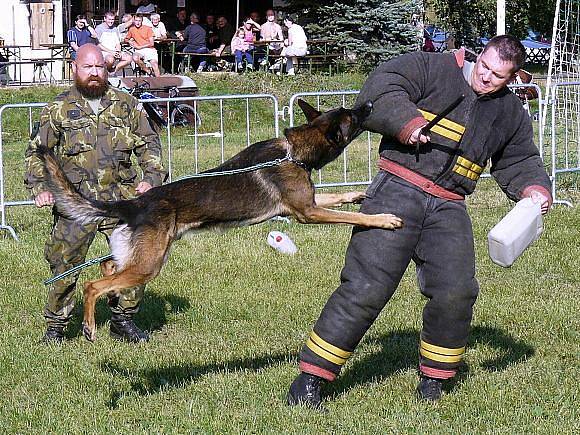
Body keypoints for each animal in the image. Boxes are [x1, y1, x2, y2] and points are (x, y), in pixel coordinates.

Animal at [37, 100, 404, 342]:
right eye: (353, 116)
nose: (369, 102)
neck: (294, 152)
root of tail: (134, 204)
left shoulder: (307, 204)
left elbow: (341, 198)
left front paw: (360, 193)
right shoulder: (308, 213)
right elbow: (353, 216)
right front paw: (384, 218)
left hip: (138, 257)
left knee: (108, 268)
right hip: (148, 265)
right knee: (91, 285)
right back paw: (89, 326)